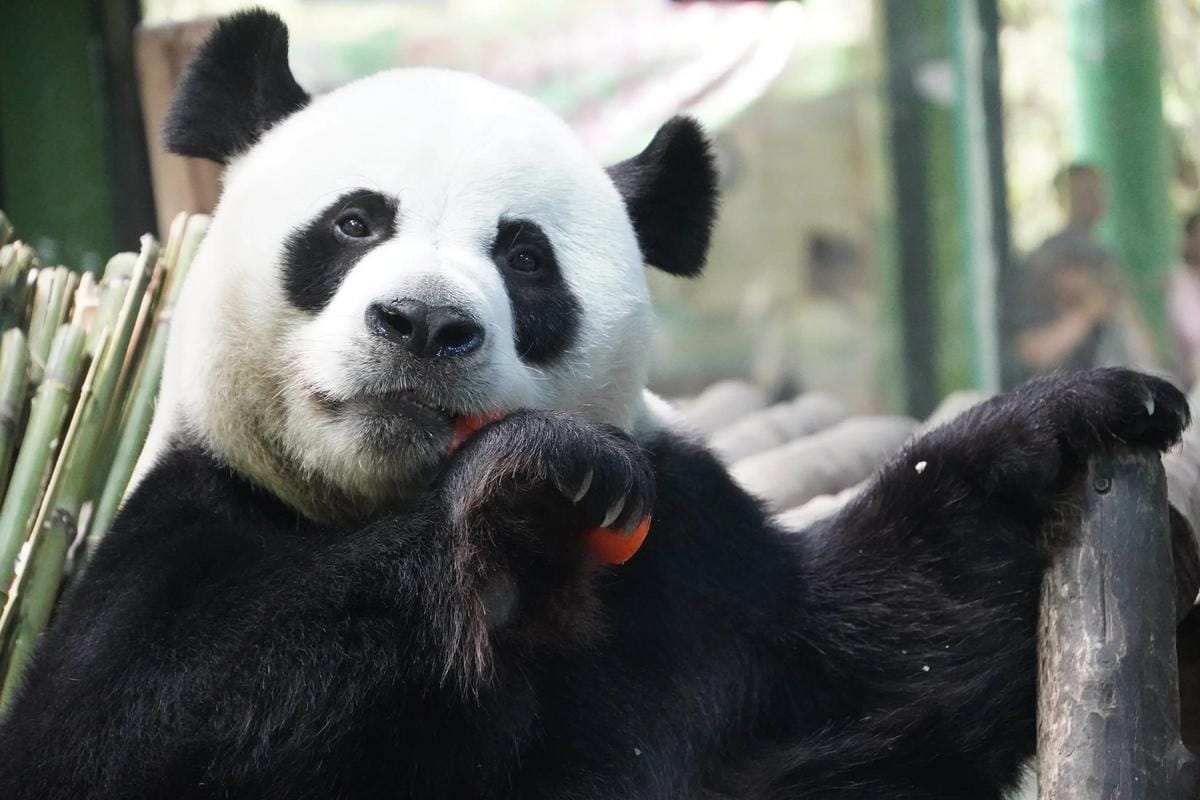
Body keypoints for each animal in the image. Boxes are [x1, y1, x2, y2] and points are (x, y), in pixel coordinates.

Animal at [0, 10, 1188, 800]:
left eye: (524, 258)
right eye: (353, 222)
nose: (424, 325)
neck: (378, 496)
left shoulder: (693, 569)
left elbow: (873, 682)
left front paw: (1060, 430)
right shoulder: (191, 527)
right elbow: (128, 733)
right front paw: (528, 488)